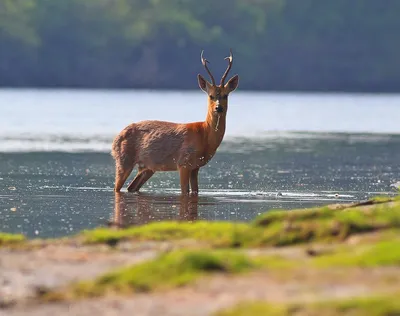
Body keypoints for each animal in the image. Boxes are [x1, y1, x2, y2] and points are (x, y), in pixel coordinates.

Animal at [111, 48, 239, 195]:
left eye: (225, 95)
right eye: (211, 96)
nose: (218, 108)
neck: (204, 135)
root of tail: (116, 139)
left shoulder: (196, 167)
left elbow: (195, 190)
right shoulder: (183, 162)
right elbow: (185, 191)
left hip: (148, 167)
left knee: (131, 187)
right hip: (124, 159)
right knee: (117, 187)